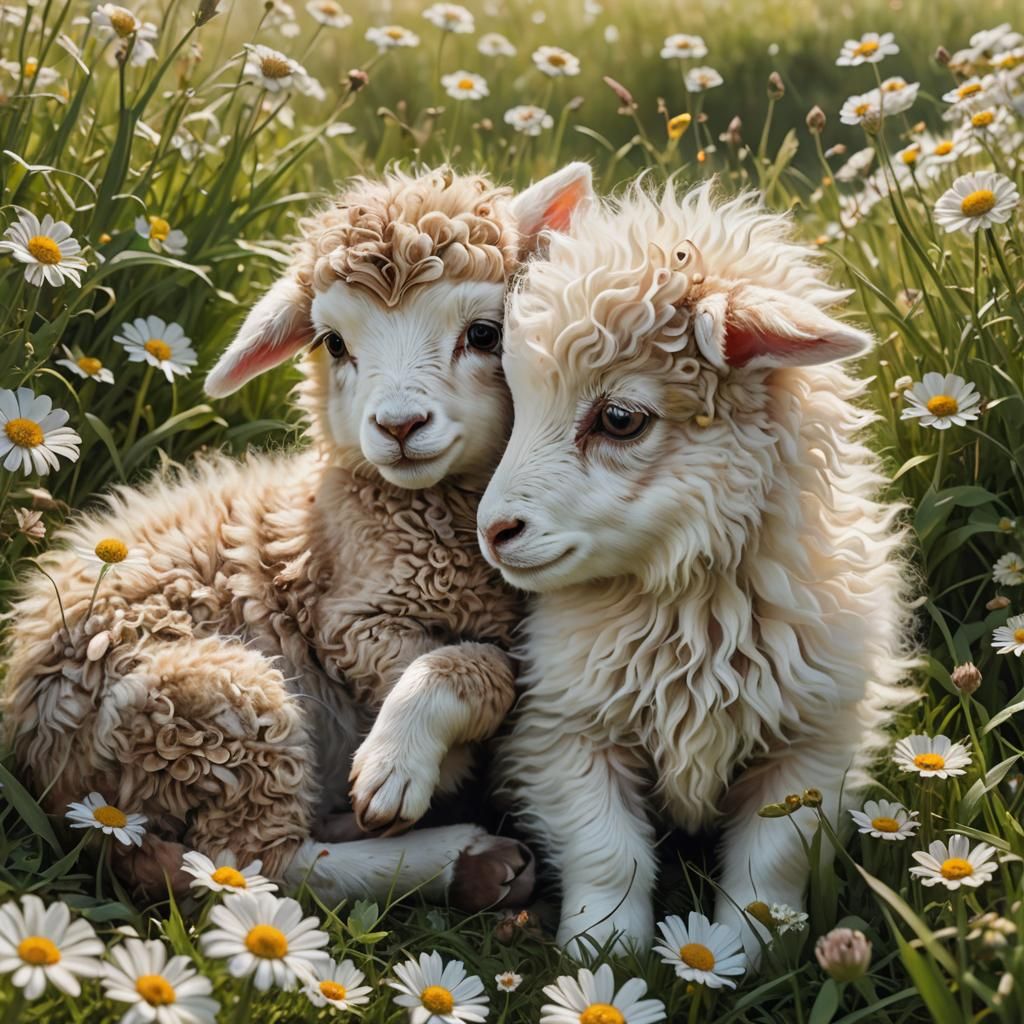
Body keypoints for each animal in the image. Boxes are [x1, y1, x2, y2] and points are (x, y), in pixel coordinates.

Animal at [3, 163, 594, 909]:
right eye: (335, 344)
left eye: (486, 335)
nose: (398, 426)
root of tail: (43, 762)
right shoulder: (351, 620)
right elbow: (478, 666)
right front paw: (401, 768)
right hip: (212, 710)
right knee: (250, 865)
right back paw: (464, 858)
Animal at [476, 181, 915, 958]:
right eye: (514, 405)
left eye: (620, 418)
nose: (495, 533)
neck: (693, 606)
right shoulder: (562, 730)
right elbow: (607, 853)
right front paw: (603, 952)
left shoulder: (815, 744)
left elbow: (774, 860)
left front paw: (750, 950)